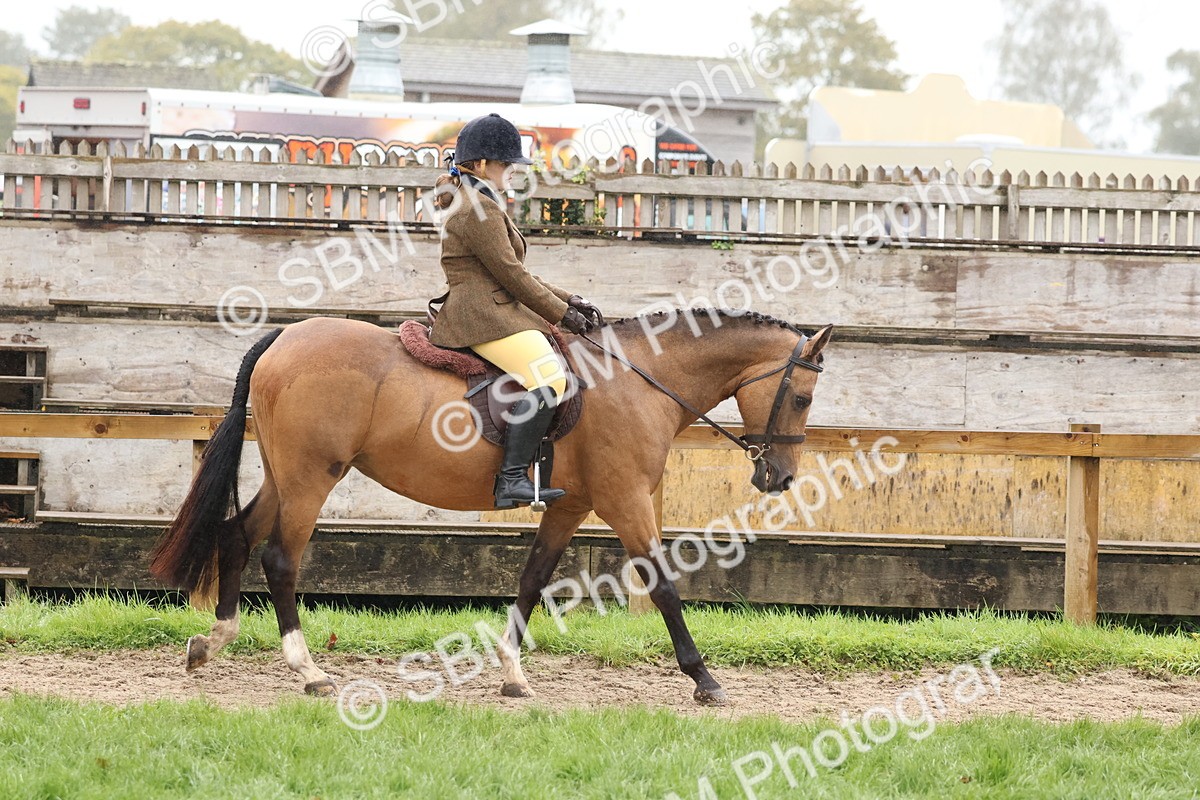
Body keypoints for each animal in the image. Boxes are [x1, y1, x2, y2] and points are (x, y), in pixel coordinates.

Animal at [149, 308, 832, 705]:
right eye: (801, 397)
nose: (780, 477)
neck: (635, 380)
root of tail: (286, 335)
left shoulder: (570, 506)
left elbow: (532, 579)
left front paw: (512, 675)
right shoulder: (625, 500)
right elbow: (663, 585)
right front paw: (704, 678)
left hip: (286, 475)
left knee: (236, 535)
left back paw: (213, 641)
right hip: (311, 478)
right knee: (280, 559)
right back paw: (309, 670)